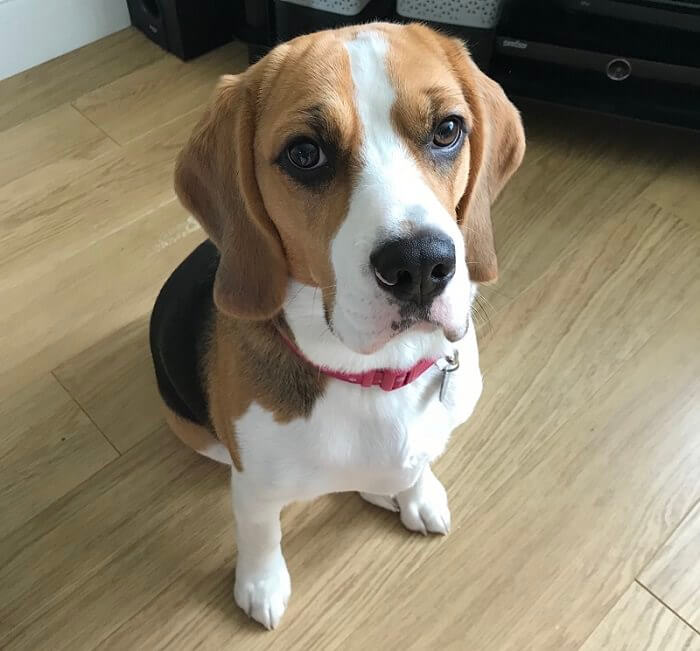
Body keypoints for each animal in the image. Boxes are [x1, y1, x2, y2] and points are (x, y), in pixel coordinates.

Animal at [150, 22, 524, 628]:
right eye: (305, 154)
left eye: (447, 130)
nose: (420, 265)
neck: (375, 377)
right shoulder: (253, 484)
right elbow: (259, 530)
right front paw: (261, 583)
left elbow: (415, 466)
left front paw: (417, 493)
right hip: (191, 429)